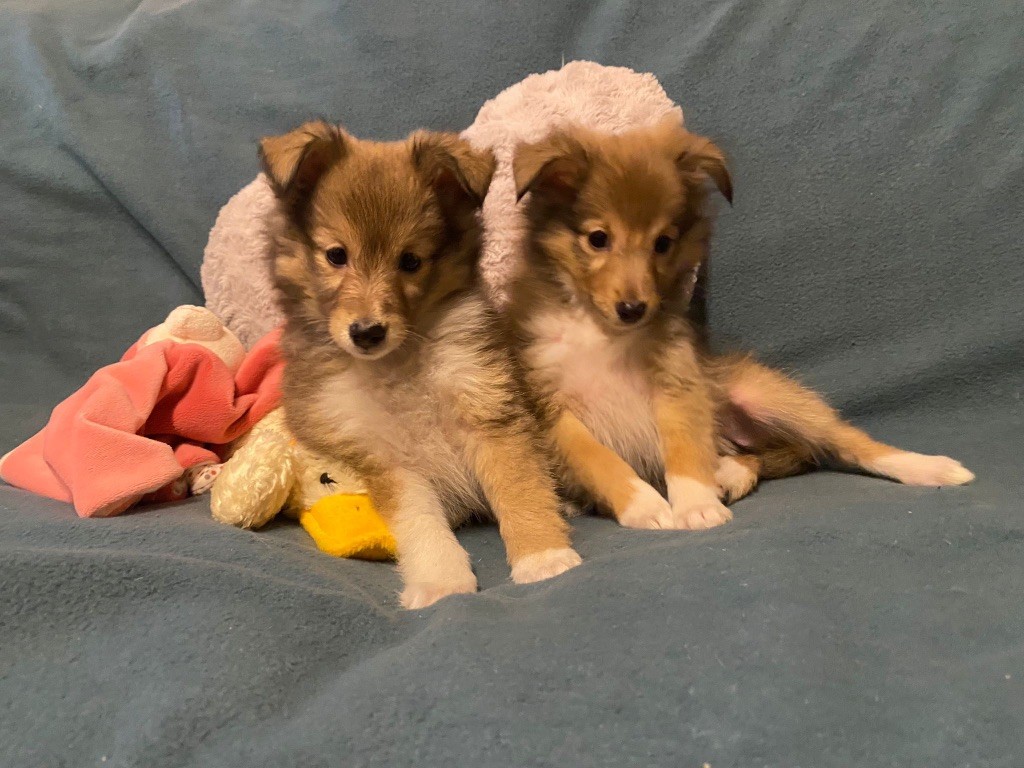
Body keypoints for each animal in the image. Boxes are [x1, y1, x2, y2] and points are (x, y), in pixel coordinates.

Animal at [260, 123, 581, 610]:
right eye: (336, 255)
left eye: (410, 261)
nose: (367, 332)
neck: (398, 365)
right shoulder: (381, 455)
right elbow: (419, 519)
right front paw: (441, 581)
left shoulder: (488, 407)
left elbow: (519, 486)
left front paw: (544, 557)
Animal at [507, 120, 970, 532]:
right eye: (598, 239)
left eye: (663, 243)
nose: (633, 309)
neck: (601, 332)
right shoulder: (551, 407)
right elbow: (599, 459)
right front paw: (645, 506)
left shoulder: (678, 380)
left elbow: (684, 448)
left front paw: (696, 505)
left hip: (768, 396)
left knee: (843, 441)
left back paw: (930, 467)